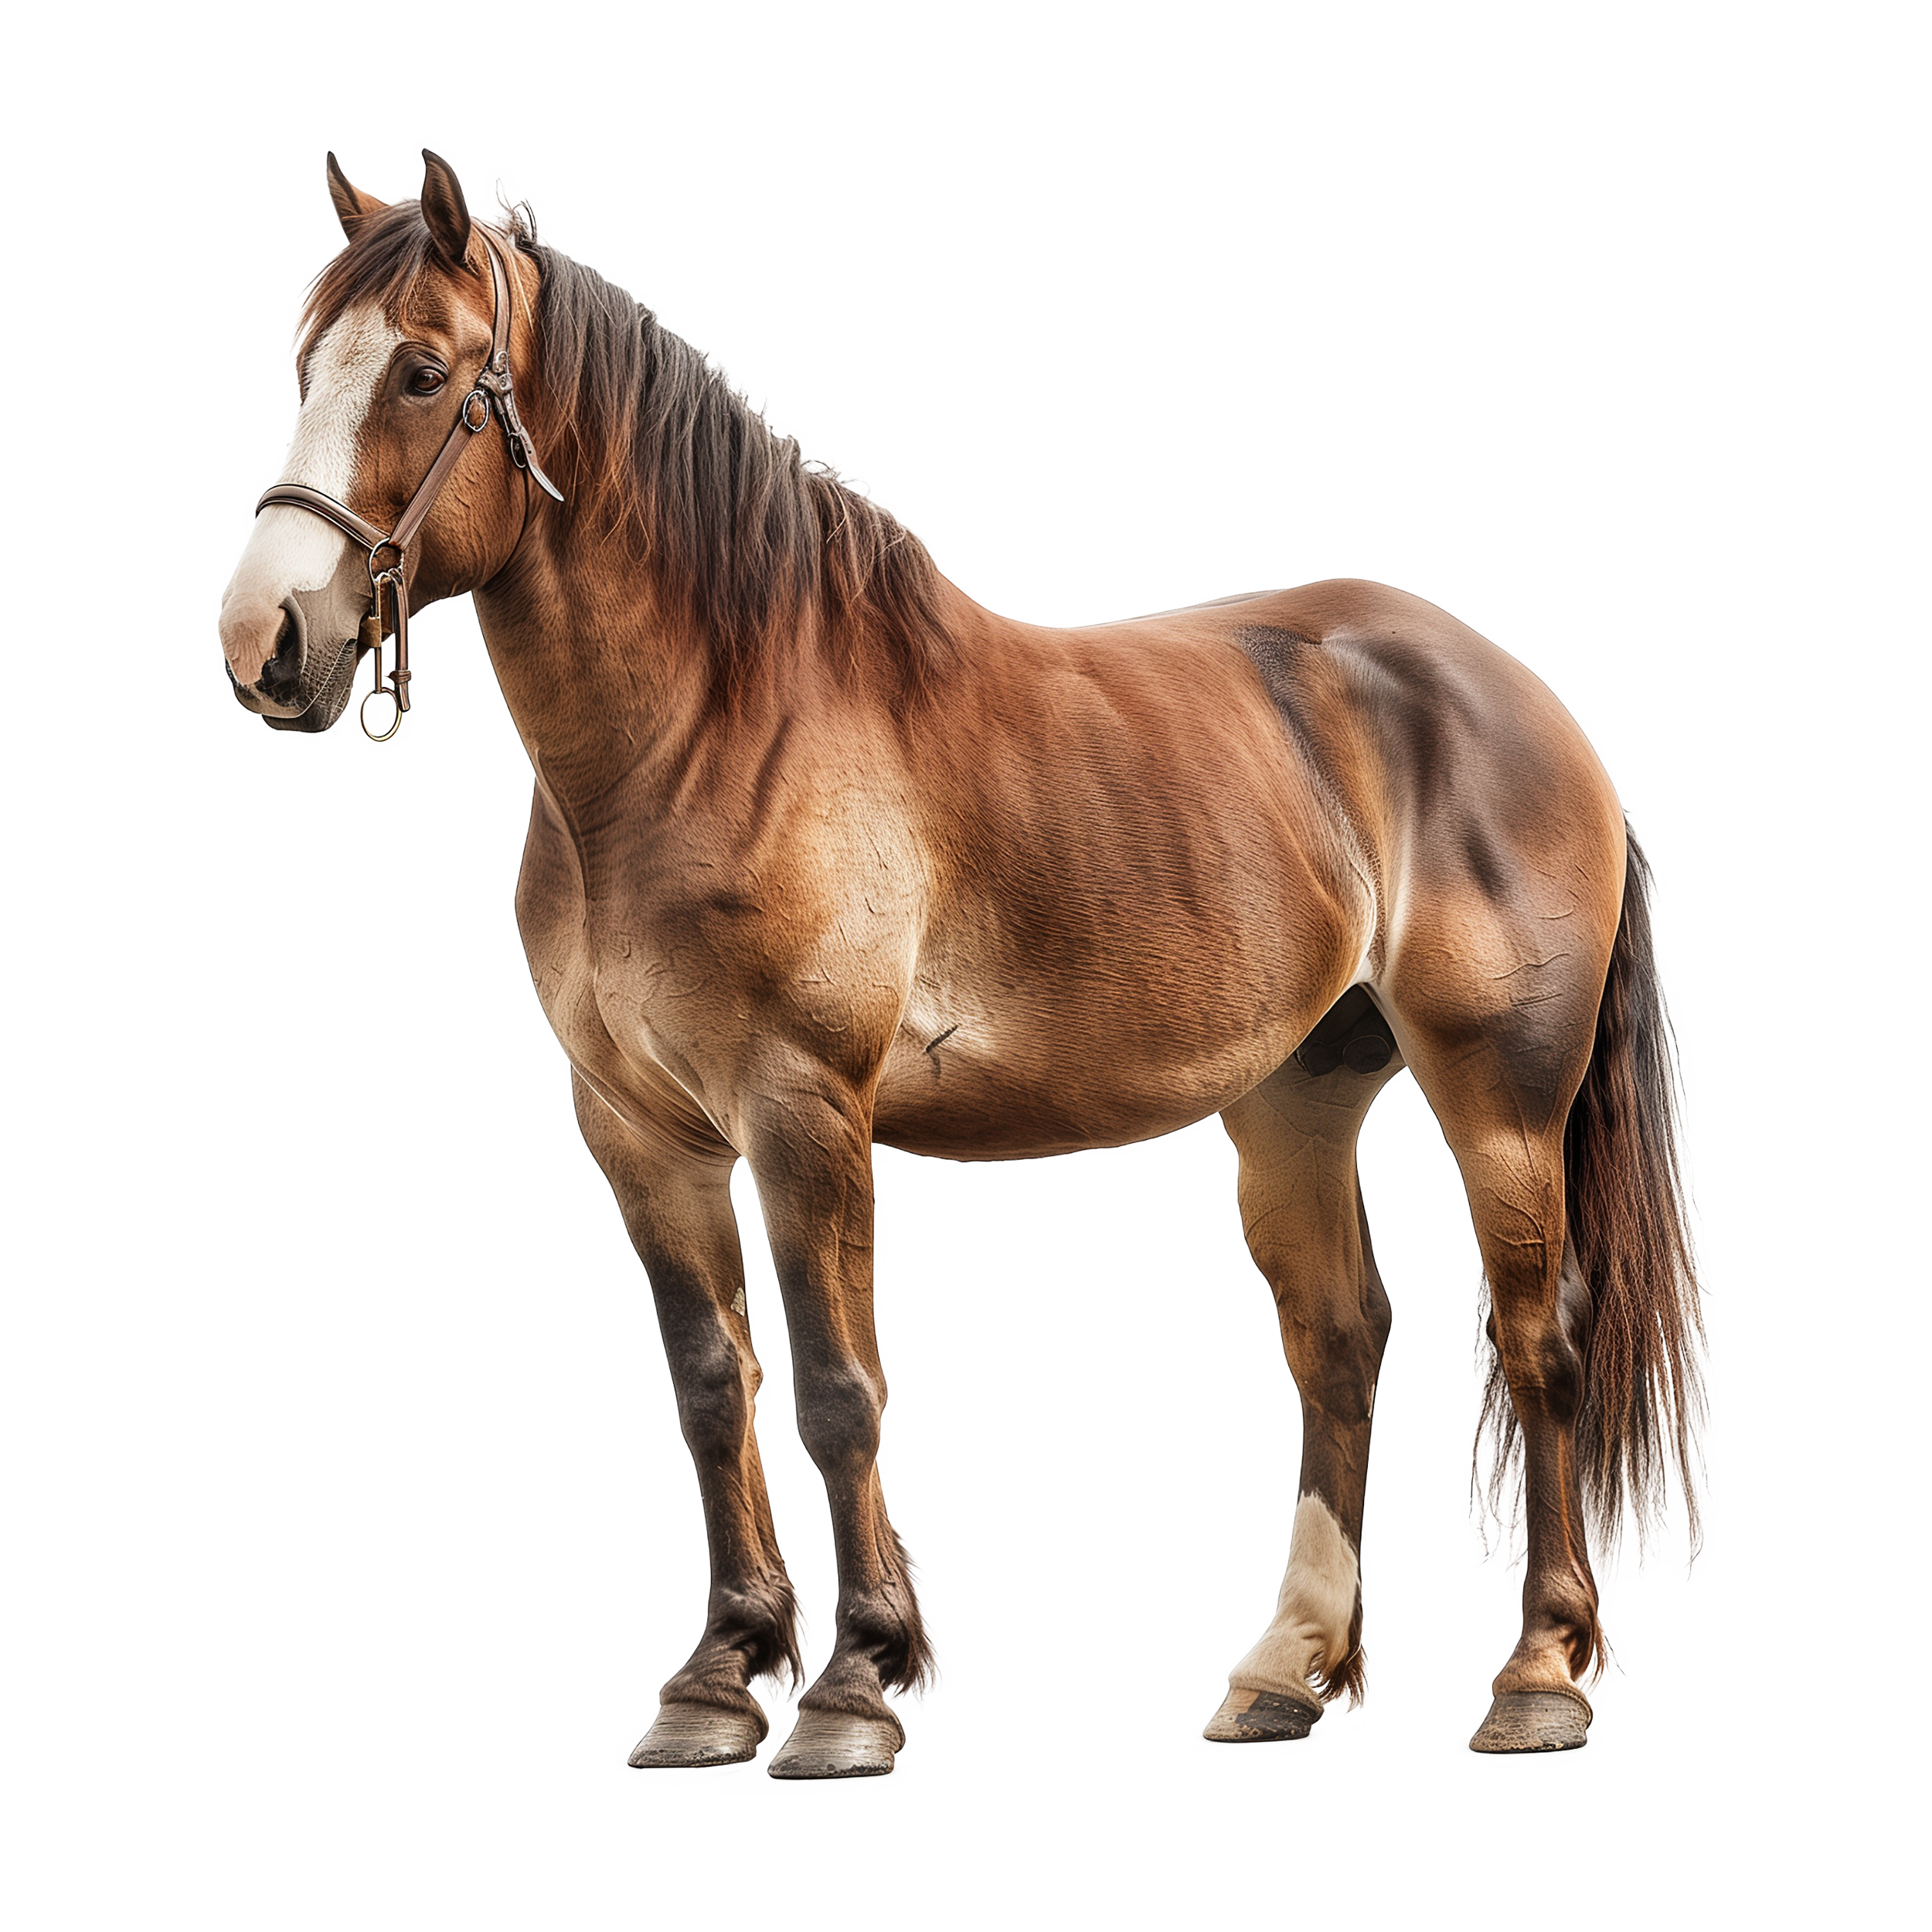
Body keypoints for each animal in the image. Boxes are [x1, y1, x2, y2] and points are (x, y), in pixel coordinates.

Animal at [213, 143, 1716, 1779]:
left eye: (424, 371)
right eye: (299, 364)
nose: (262, 637)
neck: (704, 734)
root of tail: (1533, 707)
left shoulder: (805, 1111)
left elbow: (835, 1390)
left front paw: (854, 1691)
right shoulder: (638, 1133)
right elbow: (711, 1388)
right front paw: (718, 1684)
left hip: (1499, 1099)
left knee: (1541, 1340)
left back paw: (1541, 1680)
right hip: (1295, 1103)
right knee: (1339, 1341)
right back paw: (1284, 1677)